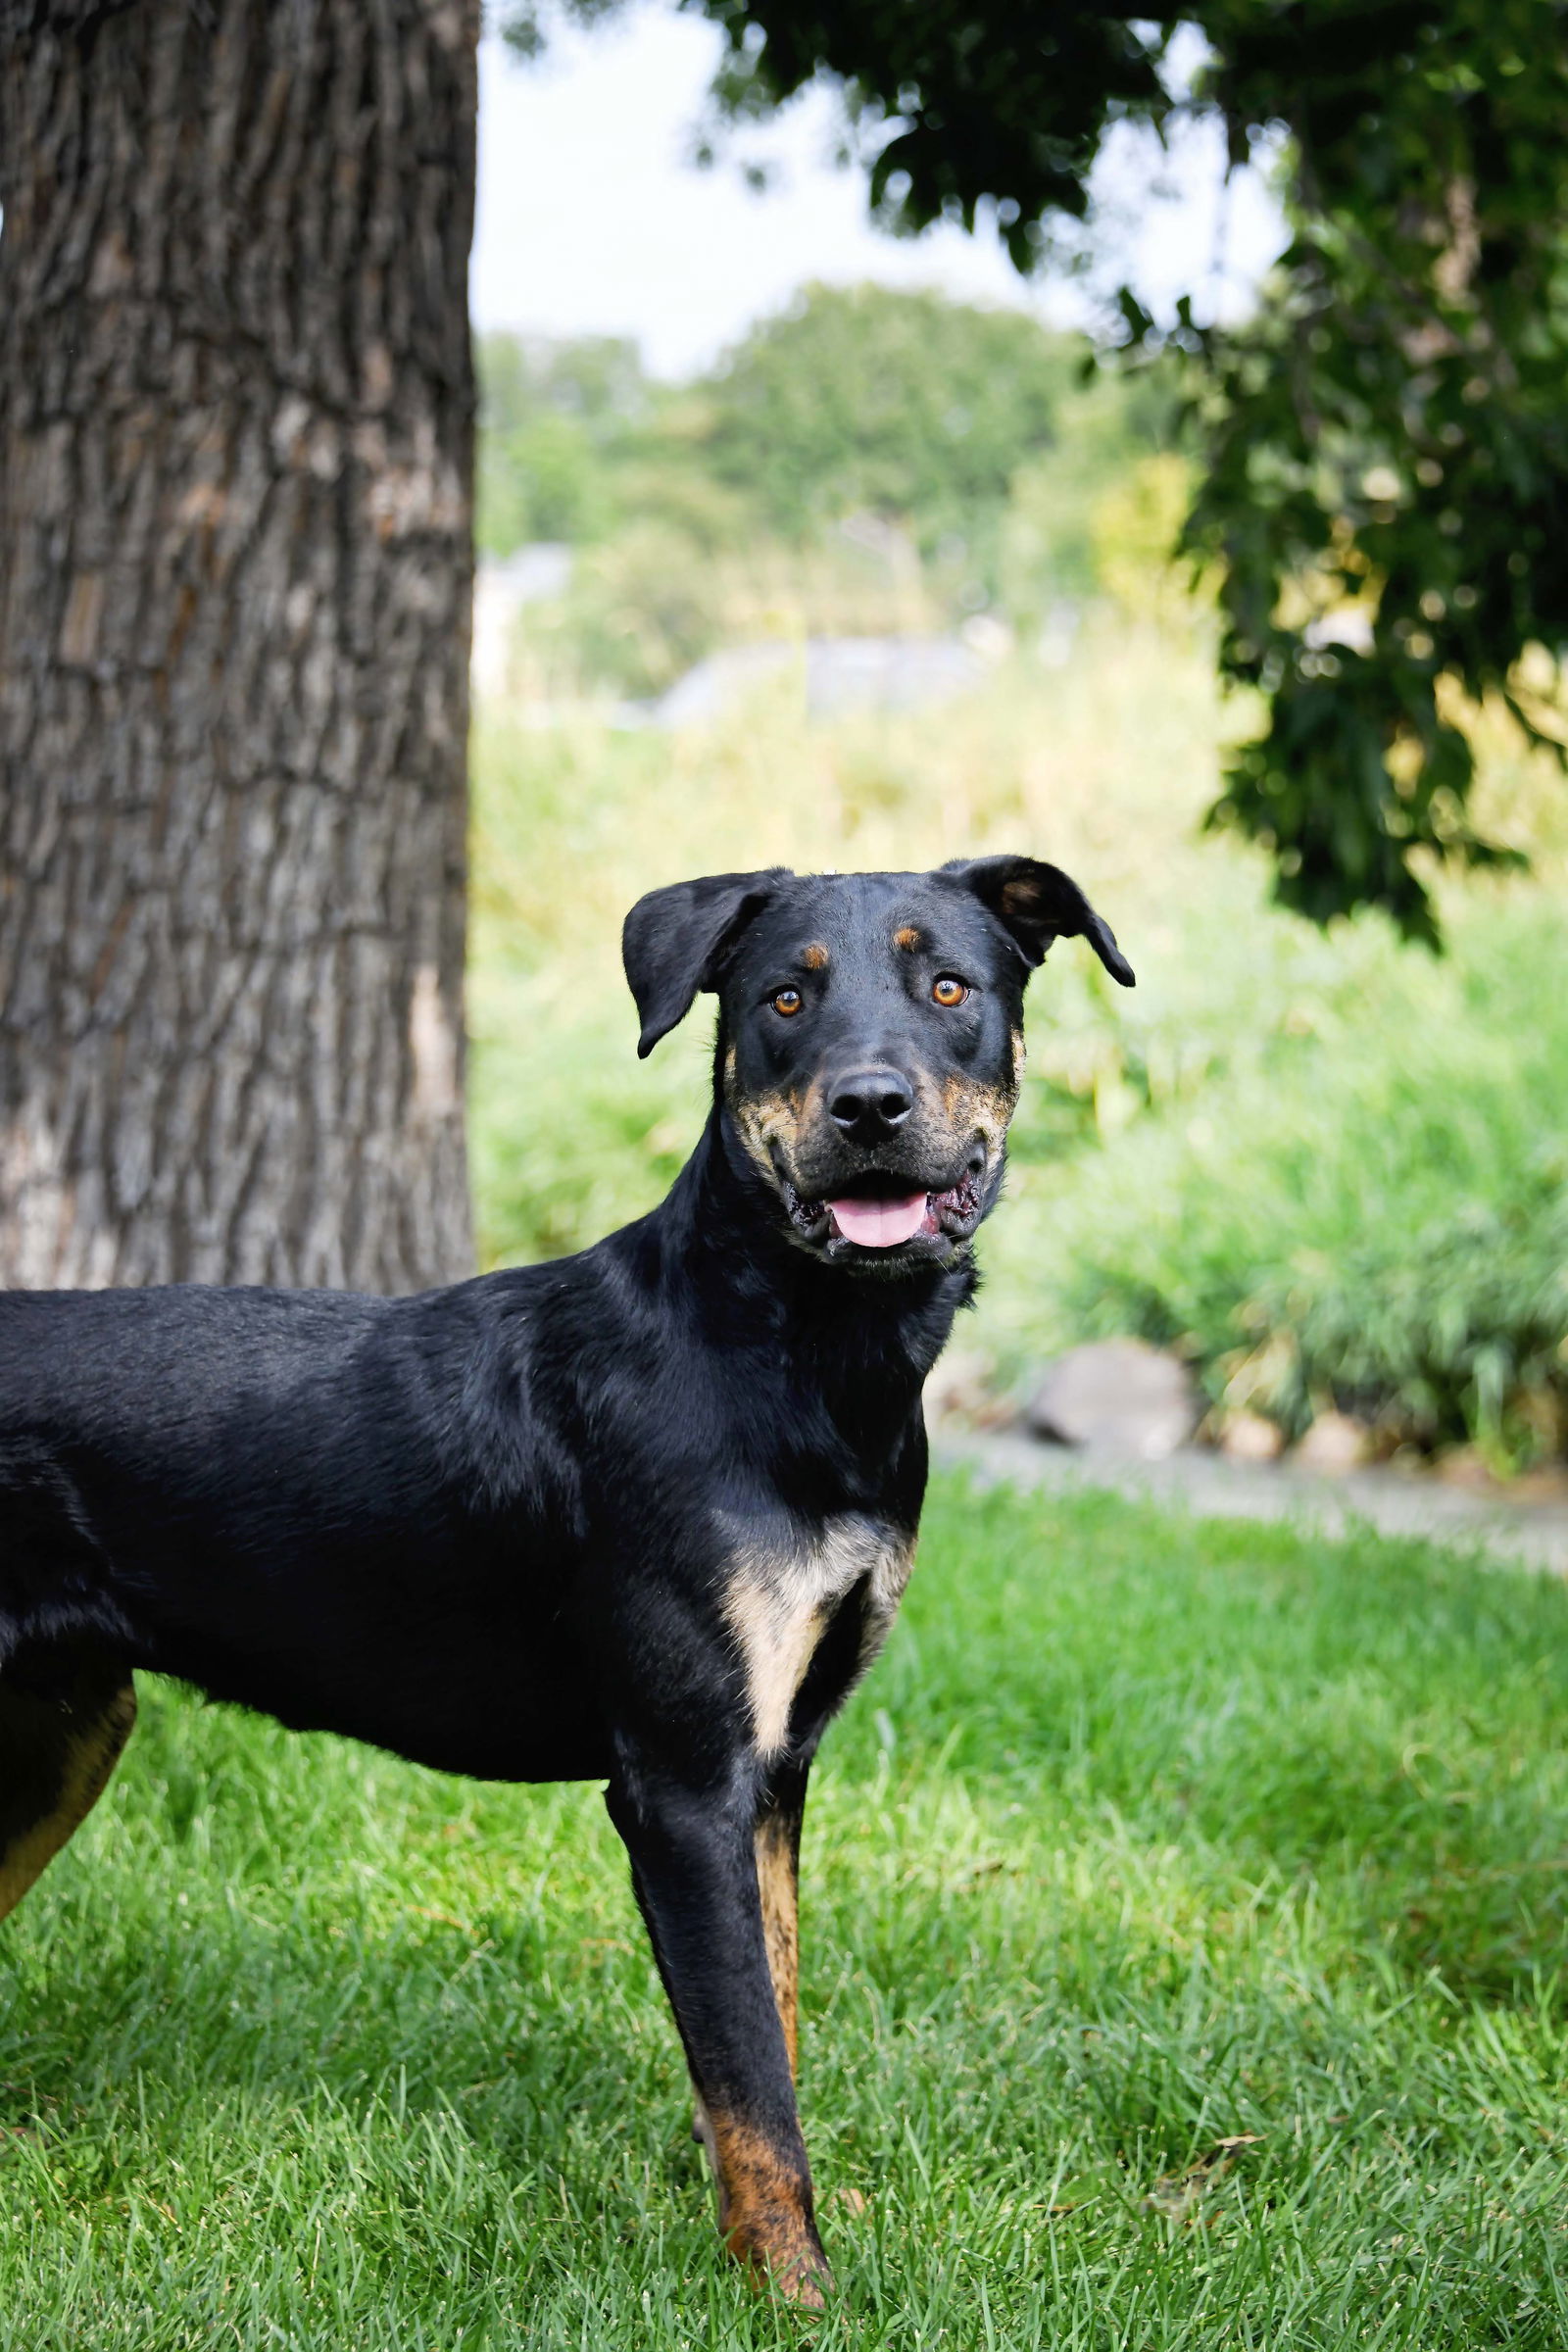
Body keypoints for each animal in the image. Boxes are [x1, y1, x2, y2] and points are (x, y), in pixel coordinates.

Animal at [0, 856, 1128, 2305]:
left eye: (950, 989)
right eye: (783, 998)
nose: (870, 1106)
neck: (798, 1355)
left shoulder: (777, 1770)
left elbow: (770, 2023)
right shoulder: (682, 1785)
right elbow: (749, 2073)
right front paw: (794, 2293)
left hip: (64, 1732)